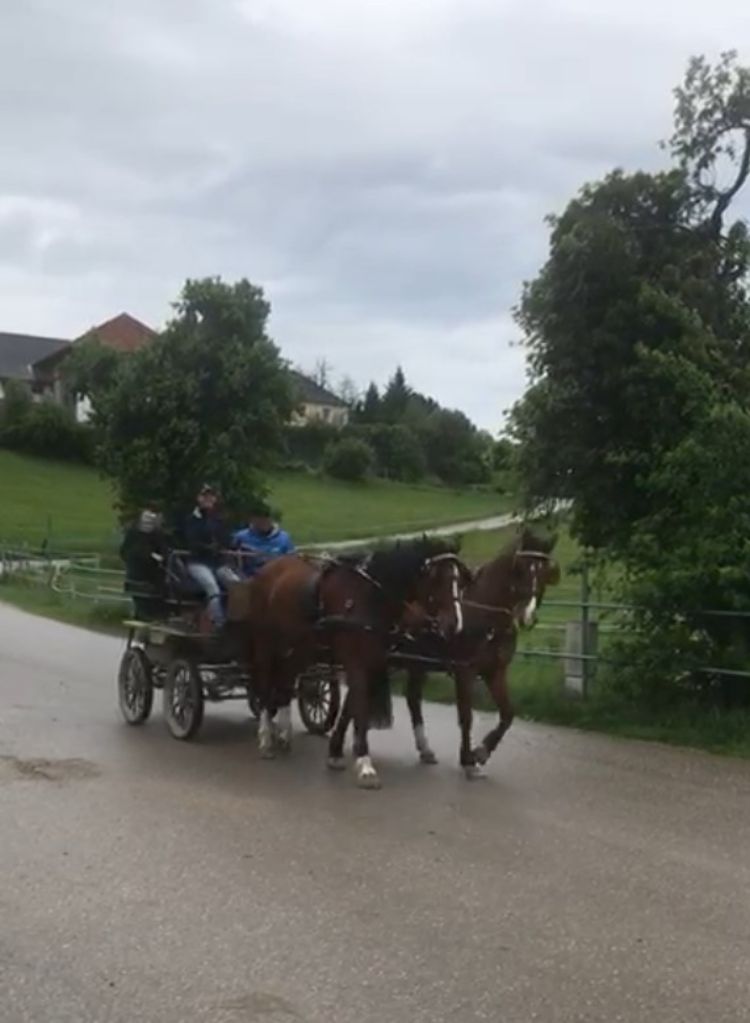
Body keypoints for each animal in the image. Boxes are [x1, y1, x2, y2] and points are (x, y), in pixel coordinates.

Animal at [245, 540, 468, 785]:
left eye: (460, 579)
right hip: (266, 644)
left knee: (285, 682)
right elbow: (359, 706)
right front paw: (364, 763)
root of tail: (267, 569)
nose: (455, 624)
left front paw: (335, 752)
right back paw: (266, 738)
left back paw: (284, 733)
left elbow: (350, 706)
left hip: (300, 648)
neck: (367, 598)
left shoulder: (371, 661)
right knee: (265, 685)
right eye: (437, 578)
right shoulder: (356, 661)